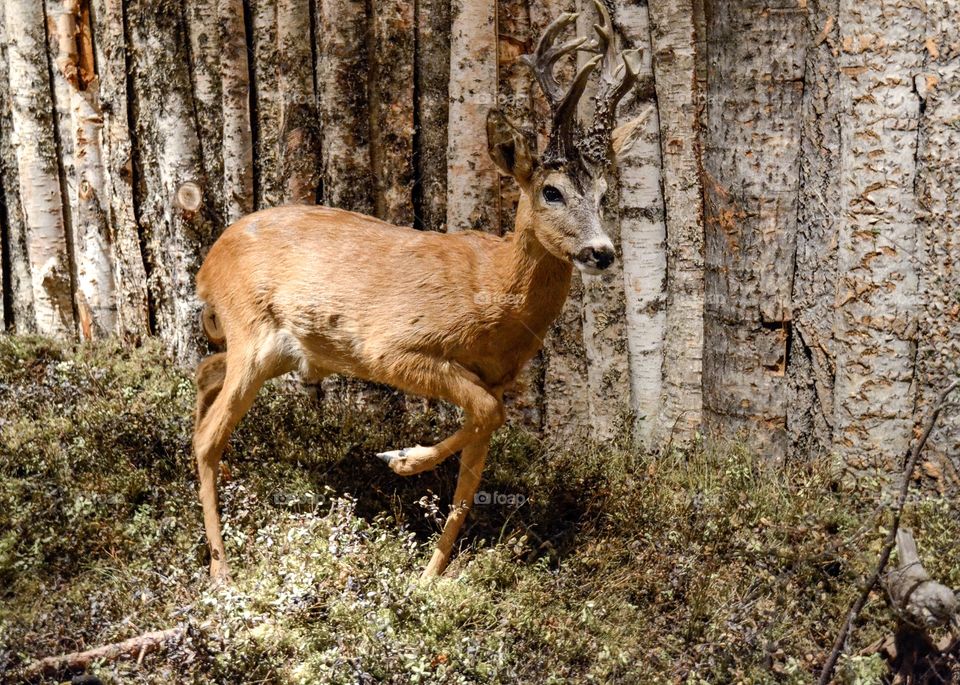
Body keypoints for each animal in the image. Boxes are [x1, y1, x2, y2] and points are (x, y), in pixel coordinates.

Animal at [190, 2, 644, 580]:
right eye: (552, 191)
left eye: (605, 192)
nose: (602, 252)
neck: (493, 292)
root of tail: (209, 265)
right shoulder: (390, 347)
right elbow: (481, 420)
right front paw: (398, 460)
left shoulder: (495, 382)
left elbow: (472, 476)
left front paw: (430, 579)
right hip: (251, 331)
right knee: (209, 435)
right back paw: (222, 572)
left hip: (275, 350)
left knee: (205, 375)